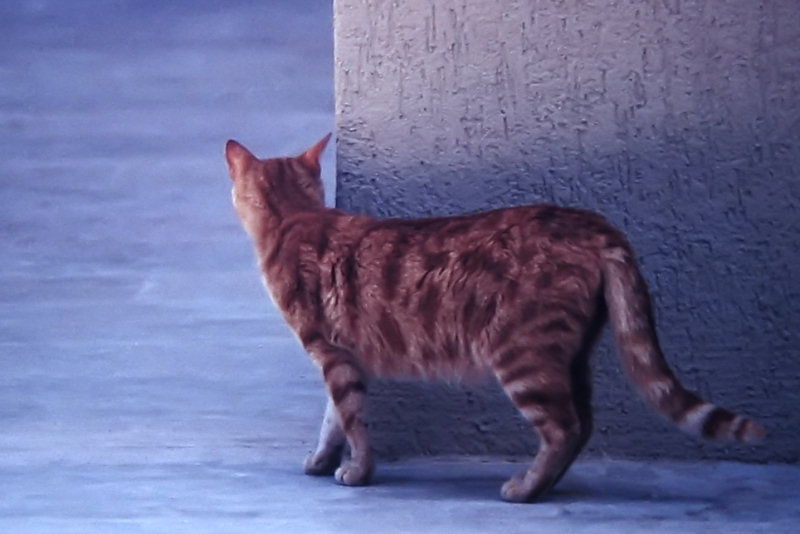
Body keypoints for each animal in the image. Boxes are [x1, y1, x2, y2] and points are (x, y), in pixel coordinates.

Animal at [223, 136, 764, 504]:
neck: (295, 219)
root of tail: (592, 222)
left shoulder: (333, 355)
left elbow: (351, 422)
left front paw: (357, 473)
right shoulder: (346, 359)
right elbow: (332, 421)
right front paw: (321, 461)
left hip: (524, 358)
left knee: (564, 428)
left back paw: (524, 489)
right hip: (572, 357)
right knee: (584, 425)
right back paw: (544, 485)